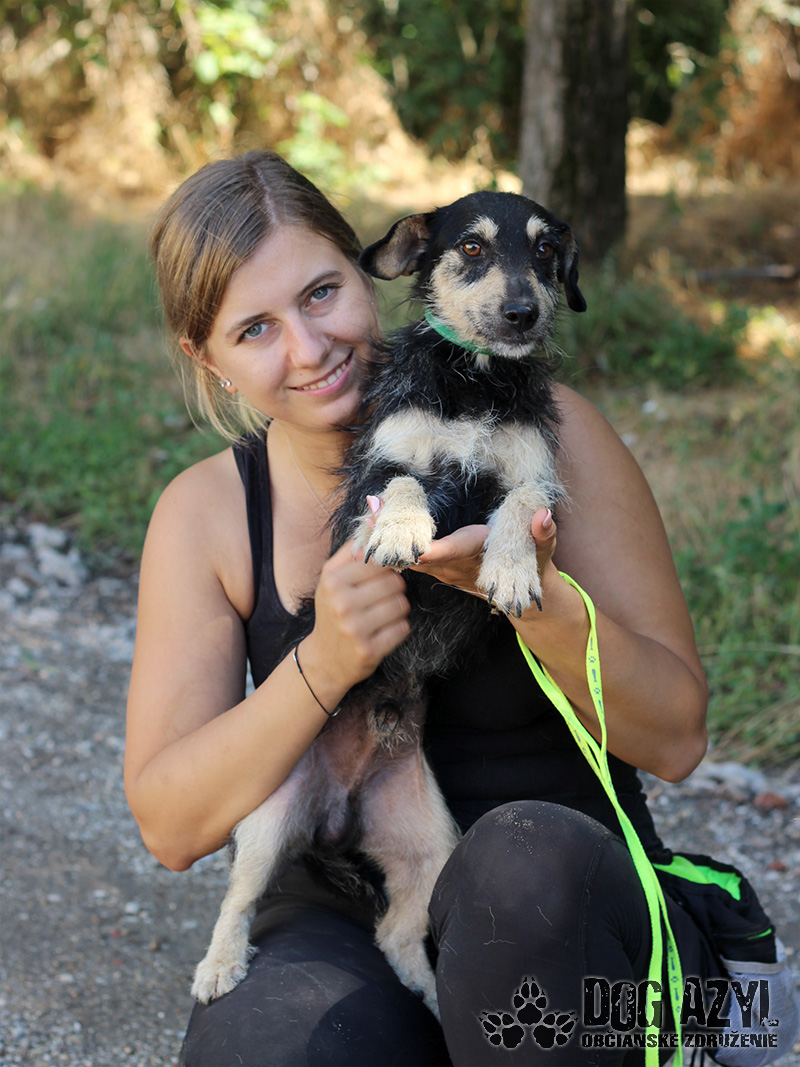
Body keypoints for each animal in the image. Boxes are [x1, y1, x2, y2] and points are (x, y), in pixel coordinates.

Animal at [191, 191, 587, 1018]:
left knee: (397, 932)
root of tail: (341, 809)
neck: (475, 382)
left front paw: (509, 570)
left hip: (434, 844)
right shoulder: (378, 465)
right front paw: (404, 528)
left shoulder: (537, 480)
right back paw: (219, 964)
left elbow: (517, 505)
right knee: (239, 898)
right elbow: (402, 481)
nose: (523, 312)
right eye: (471, 247)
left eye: (545, 251)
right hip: (268, 818)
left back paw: (430, 997)